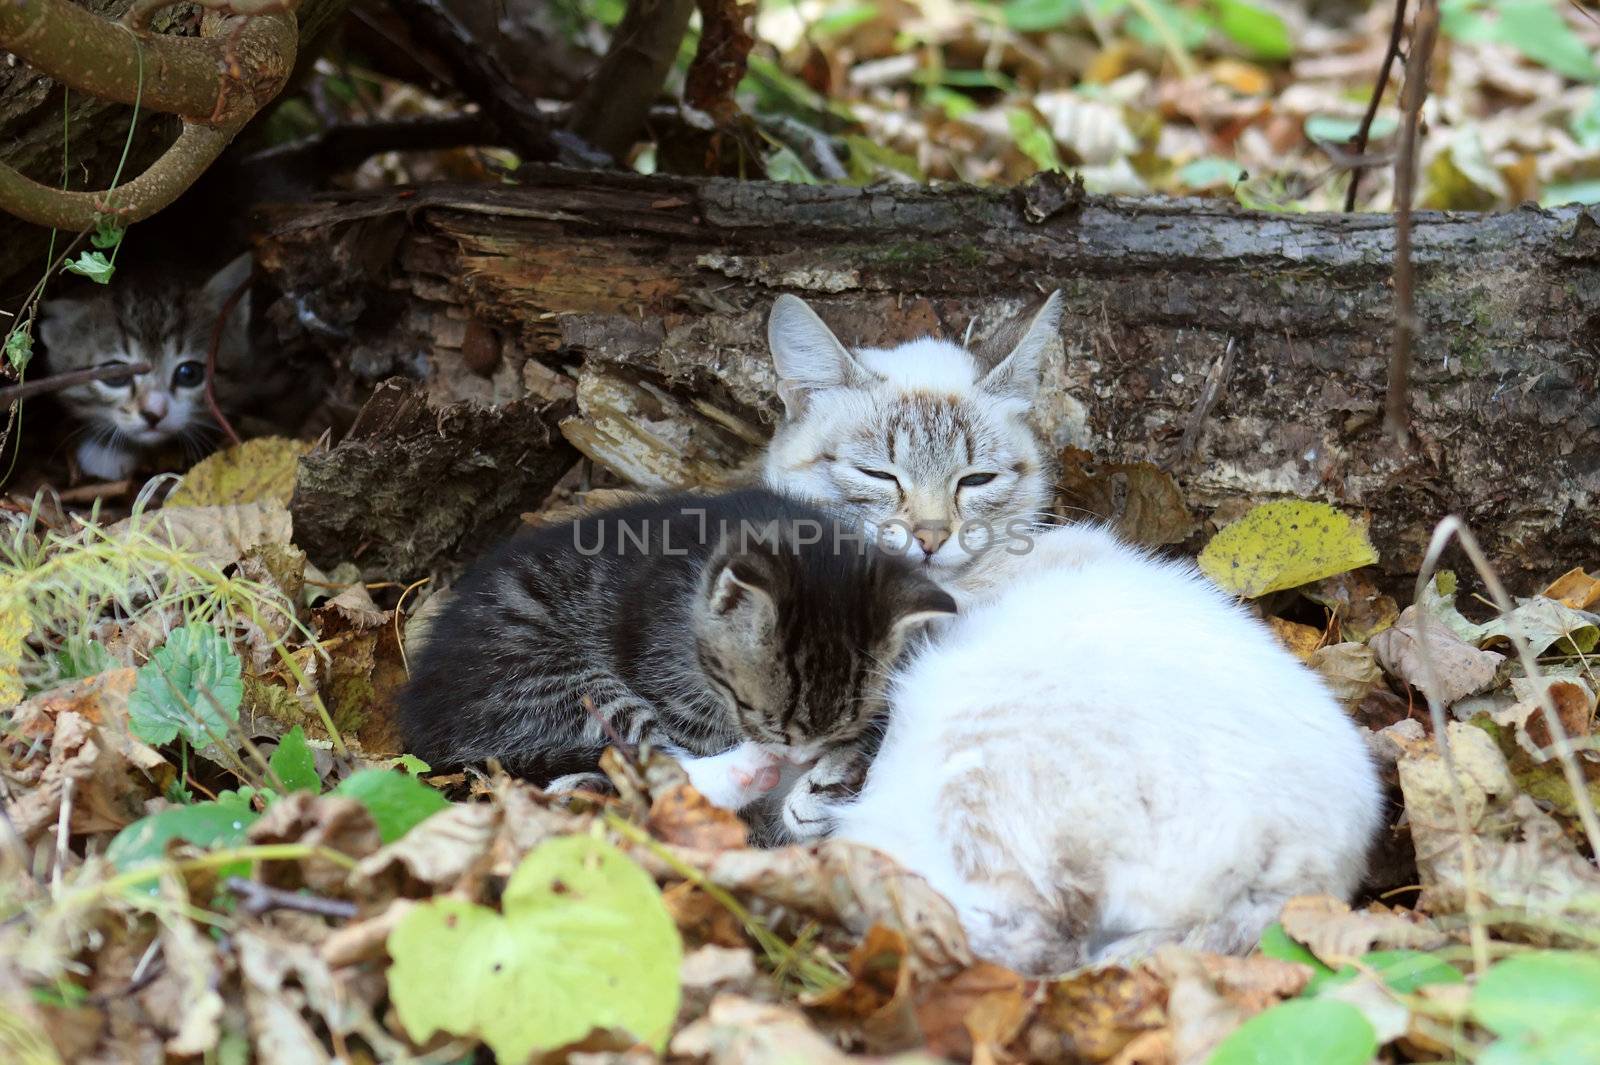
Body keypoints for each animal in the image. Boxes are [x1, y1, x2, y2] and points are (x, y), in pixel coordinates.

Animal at [398, 486, 953, 825]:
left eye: (840, 728)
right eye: (758, 716)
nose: (794, 757)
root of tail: (422, 720)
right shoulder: (663, 666)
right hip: (552, 679)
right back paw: (744, 770)